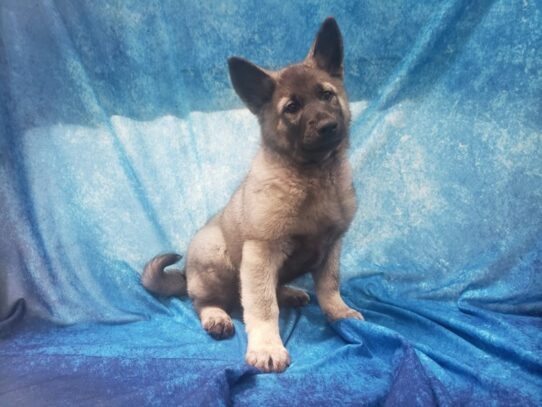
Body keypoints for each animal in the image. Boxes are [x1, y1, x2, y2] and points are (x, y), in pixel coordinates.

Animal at [143, 16, 366, 372]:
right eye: (292, 107)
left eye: (326, 95)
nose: (328, 126)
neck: (313, 176)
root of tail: (187, 274)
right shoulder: (261, 251)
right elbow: (261, 306)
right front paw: (266, 347)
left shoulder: (332, 247)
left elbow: (330, 285)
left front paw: (339, 313)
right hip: (215, 255)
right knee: (205, 302)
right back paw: (217, 317)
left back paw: (289, 292)